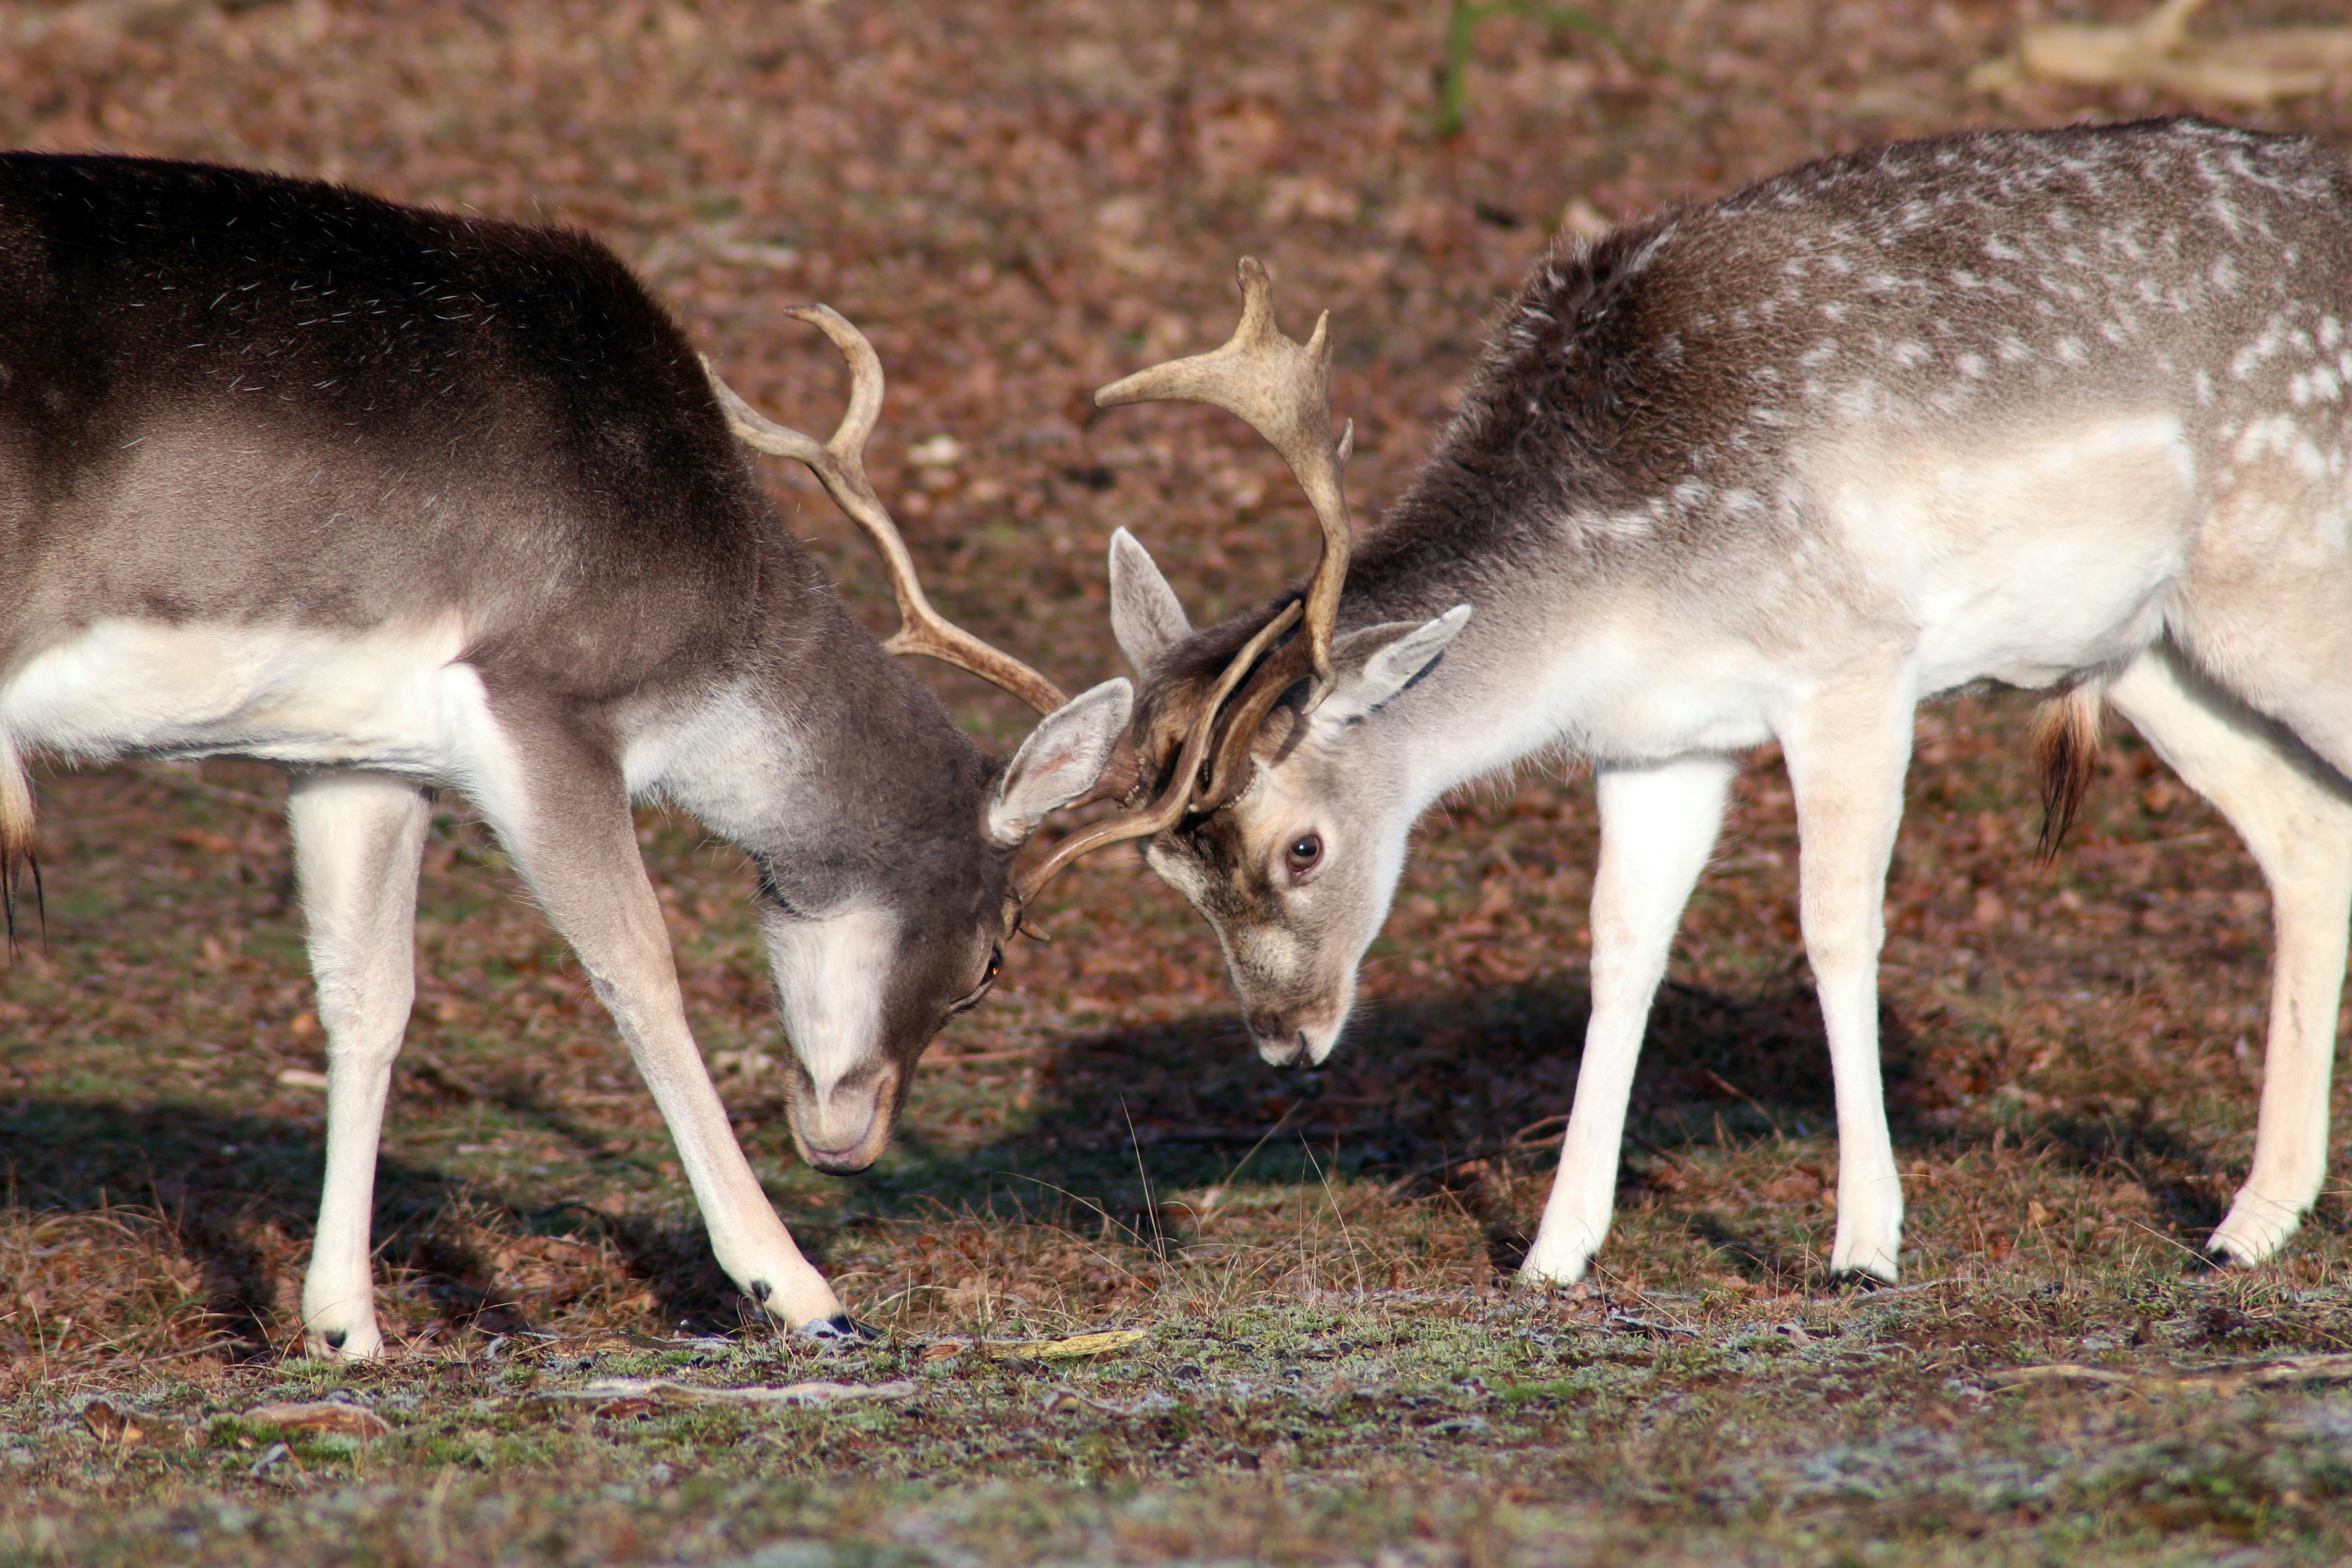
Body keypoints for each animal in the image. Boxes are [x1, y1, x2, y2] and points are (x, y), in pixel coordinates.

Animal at [0, 152, 1134, 1357]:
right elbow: (640, 967)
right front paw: (799, 1289)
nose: (851, 1138)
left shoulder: (355, 750)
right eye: (996, 958)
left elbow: (368, 996)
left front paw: (346, 1327)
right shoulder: (542, 700)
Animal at [1021, 116, 2352, 1287]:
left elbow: (1835, 926)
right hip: (2149, 649)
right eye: (1168, 874)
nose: (1285, 1038)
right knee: (2308, 833)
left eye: (1304, 846)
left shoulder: (1851, 661)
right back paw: (2247, 1221)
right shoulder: (1661, 741)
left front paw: (1863, 1244)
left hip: (2284, 582)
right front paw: (1554, 1251)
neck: (1619, 587)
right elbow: (1621, 947)